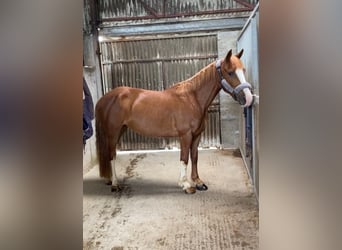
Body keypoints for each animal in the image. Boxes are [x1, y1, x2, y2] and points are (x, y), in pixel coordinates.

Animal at [95, 48, 252, 193]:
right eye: (230, 72)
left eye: (243, 70)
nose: (248, 98)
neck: (192, 99)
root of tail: (104, 99)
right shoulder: (185, 135)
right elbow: (184, 158)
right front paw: (186, 185)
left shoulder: (197, 135)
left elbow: (194, 157)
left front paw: (198, 182)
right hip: (113, 132)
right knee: (111, 155)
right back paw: (115, 184)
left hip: (121, 129)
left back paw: (110, 180)